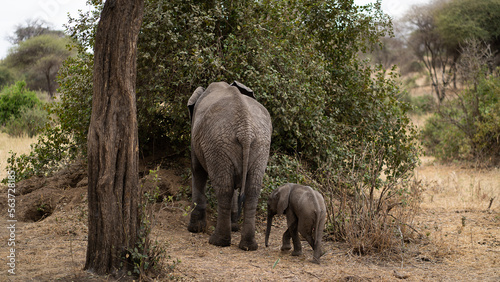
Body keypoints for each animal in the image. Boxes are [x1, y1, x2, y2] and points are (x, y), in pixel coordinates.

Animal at [188, 80, 274, 250]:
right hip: (259, 145)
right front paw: (234, 226)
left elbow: (197, 170)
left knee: (224, 189)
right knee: (252, 190)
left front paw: (194, 229)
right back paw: (248, 246)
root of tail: (245, 130)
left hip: (217, 145)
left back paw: (218, 241)